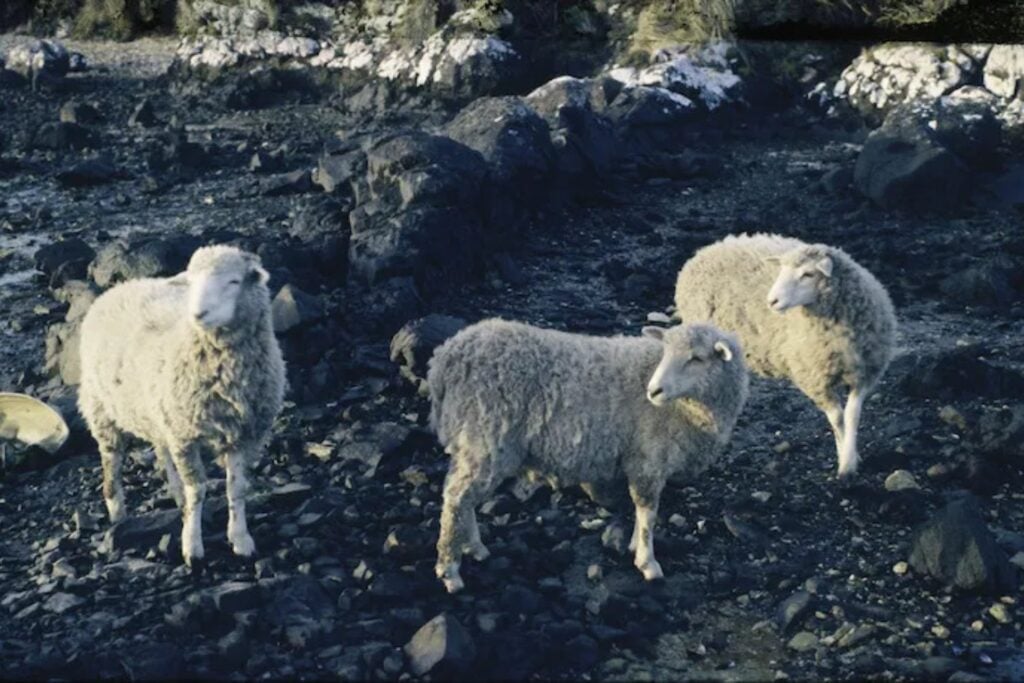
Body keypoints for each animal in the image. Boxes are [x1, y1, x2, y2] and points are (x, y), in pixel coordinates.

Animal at [78, 245, 286, 567]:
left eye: (234, 281)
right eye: (191, 283)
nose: (198, 313)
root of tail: (120, 286)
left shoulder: (244, 435)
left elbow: (236, 488)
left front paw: (240, 539)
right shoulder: (185, 436)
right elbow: (197, 490)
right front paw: (192, 546)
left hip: (158, 414)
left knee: (161, 449)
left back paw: (174, 493)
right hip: (101, 409)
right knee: (112, 459)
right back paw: (117, 510)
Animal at [427, 319, 749, 593]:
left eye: (697, 358)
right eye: (666, 352)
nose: (653, 391)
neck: (687, 409)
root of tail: (446, 358)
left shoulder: (642, 458)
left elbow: (641, 510)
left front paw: (634, 546)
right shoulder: (649, 456)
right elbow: (648, 511)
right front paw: (648, 563)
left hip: (475, 442)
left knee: (462, 497)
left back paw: (474, 547)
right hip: (484, 434)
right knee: (456, 498)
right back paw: (450, 570)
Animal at [673, 233, 897, 478]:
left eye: (808, 274)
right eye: (781, 271)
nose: (771, 301)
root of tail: (706, 250)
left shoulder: (865, 373)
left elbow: (851, 416)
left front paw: (852, 456)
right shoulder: (815, 379)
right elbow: (838, 419)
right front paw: (846, 464)